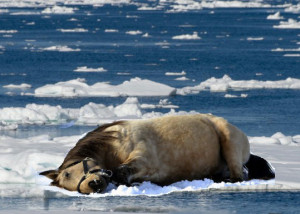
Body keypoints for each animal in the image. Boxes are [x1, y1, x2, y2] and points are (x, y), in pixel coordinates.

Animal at [41, 113, 276, 194]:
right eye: (68, 183)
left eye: (69, 173)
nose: (94, 185)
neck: (113, 144)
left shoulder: (144, 158)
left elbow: (122, 171)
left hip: (229, 140)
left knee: (239, 175)